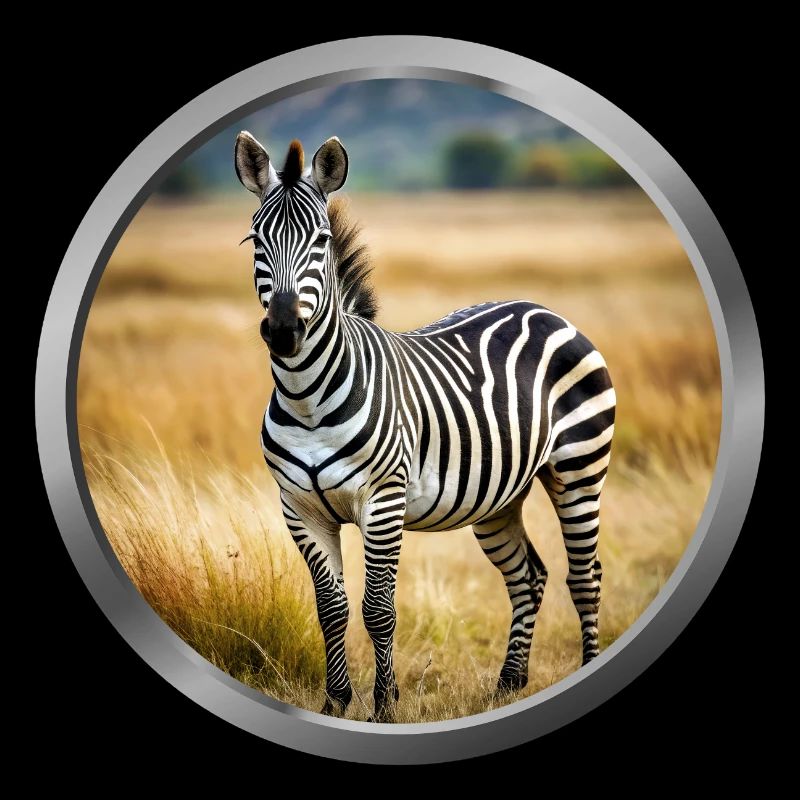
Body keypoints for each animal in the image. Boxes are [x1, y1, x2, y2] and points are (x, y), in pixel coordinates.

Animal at [234, 132, 616, 721]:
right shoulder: (299, 509)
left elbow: (378, 607)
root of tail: (542, 308)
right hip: (499, 496)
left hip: (579, 470)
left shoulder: (383, 500)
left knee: (585, 577)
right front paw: (335, 702)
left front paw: (384, 707)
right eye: (256, 240)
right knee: (529, 577)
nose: (282, 330)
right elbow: (331, 608)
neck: (307, 398)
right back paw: (508, 683)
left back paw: (581, 668)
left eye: (321, 241)